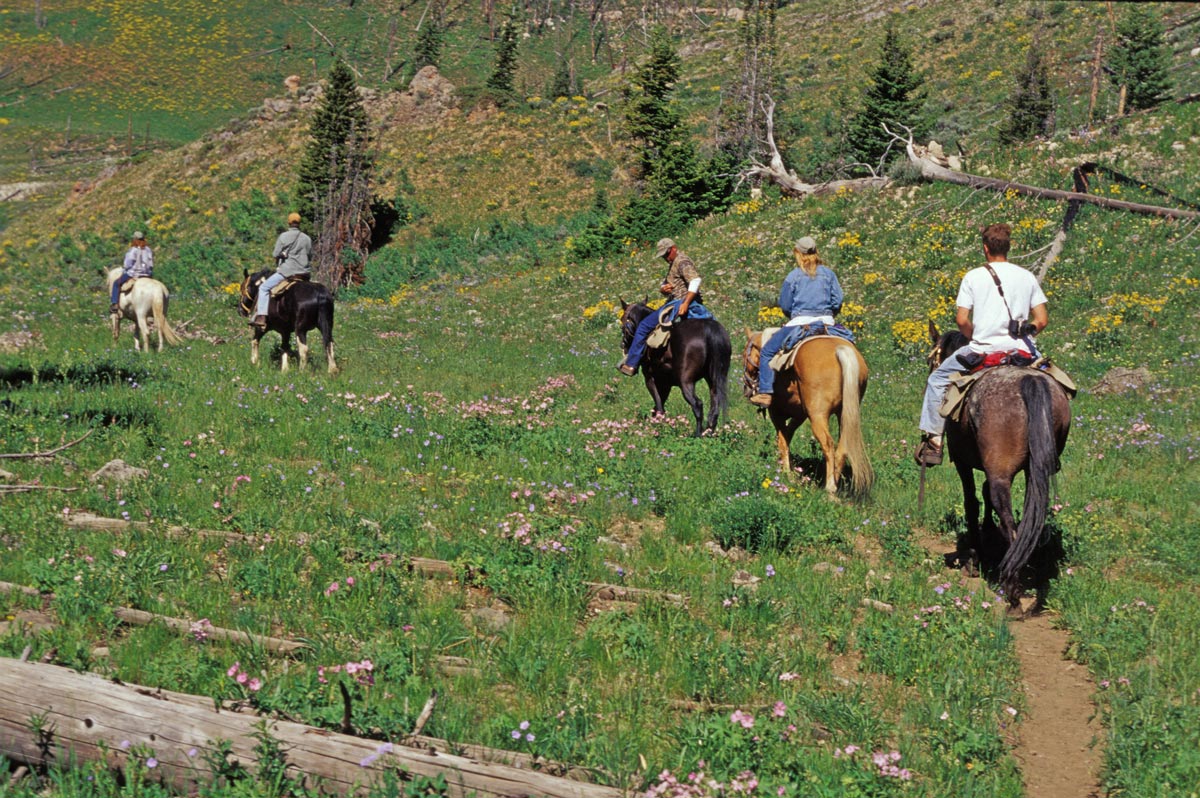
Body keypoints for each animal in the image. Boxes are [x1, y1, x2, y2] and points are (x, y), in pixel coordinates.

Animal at [619, 298, 729, 436]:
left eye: (622, 320)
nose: (623, 345)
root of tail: (708, 330)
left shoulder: (650, 379)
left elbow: (658, 406)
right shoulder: (665, 384)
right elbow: (658, 407)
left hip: (686, 382)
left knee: (697, 405)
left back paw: (697, 435)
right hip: (715, 380)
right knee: (714, 407)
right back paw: (708, 433)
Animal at [739, 328, 873, 492]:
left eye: (744, 355)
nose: (746, 388)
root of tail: (841, 351)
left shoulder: (776, 412)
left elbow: (782, 440)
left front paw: (786, 474)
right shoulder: (800, 415)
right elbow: (787, 436)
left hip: (818, 416)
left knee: (828, 445)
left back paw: (830, 488)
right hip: (844, 416)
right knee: (841, 449)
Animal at [926, 324, 1070, 609]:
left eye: (930, 360)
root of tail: (1030, 381)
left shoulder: (963, 462)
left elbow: (972, 502)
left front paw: (974, 557)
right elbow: (984, 497)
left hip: (1000, 474)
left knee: (1009, 523)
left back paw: (1012, 591)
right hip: (1033, 473)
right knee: (1028, 521)